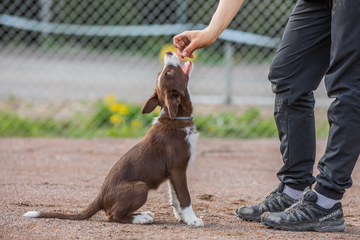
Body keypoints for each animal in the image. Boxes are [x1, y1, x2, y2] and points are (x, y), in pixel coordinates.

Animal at [23, 50, 204, 227]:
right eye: (169, 72)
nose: (167, 51)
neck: (177, 118)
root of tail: (100, 196)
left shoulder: (172, 173)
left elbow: (175, 199)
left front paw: (182, 218)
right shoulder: (177, 169)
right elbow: (185, 197)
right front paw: (192, 220)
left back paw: (143, 214)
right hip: (140, 187)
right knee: (112, 216)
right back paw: (140, 218)